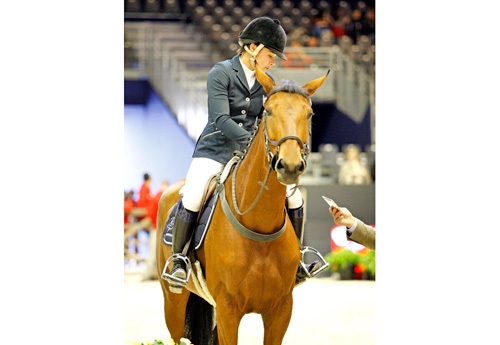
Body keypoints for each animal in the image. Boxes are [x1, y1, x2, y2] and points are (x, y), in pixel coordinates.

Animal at [154, 65, 330, 344]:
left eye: (309, 113)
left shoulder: (281, 310)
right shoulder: (229, 309)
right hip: (173, 301)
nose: (290, 166)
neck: (260, 225)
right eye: (269, 111)